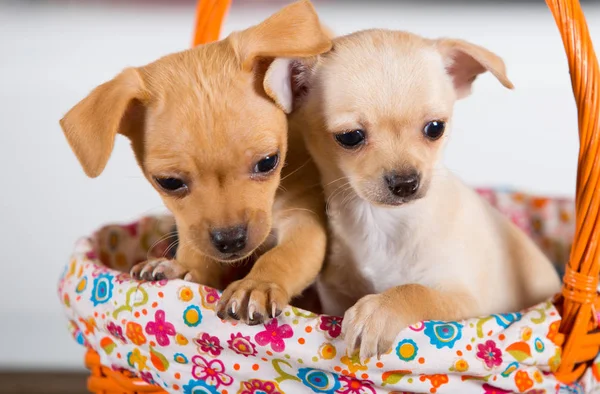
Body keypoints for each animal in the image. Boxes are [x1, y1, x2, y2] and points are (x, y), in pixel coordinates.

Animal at [60, 0, 330, 324]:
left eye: (268, 162)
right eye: (169, 183)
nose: (231, 240)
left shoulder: (304, 222)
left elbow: (283, 255)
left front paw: (257, 284)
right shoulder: (189, 225)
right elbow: (196, 250)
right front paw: (181, 267)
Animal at [290, 30, 564, 362]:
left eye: (435, 128)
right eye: (350, 137)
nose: (406, 183)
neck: (383, 222)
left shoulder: (466, 302)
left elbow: (416, 291)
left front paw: (379, 310)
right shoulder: (335, 298)